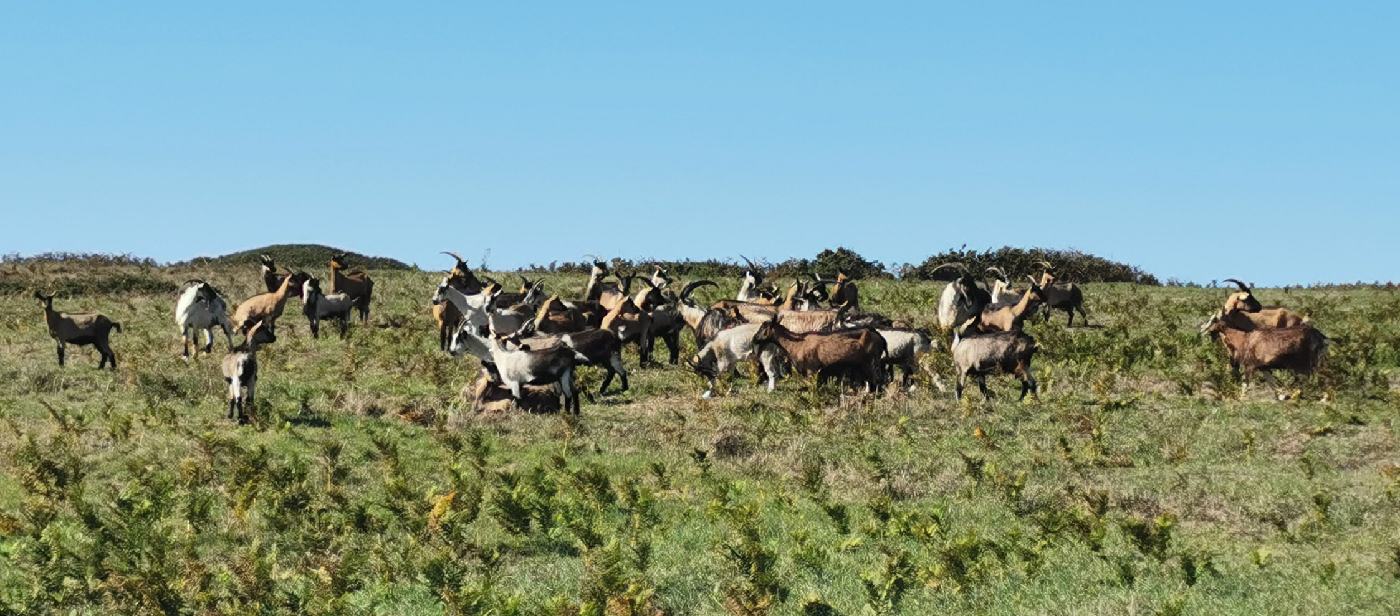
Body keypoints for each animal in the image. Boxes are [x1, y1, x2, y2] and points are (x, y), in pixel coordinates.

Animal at [1198, 310, 1327, 392]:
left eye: (1213, 320)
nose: (1201, 330)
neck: (1245, 339)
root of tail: (1320, 336)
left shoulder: (1249, 366)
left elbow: (1245, 386)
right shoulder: (1264, 368)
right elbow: (1274, 385)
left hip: (1305, 366)